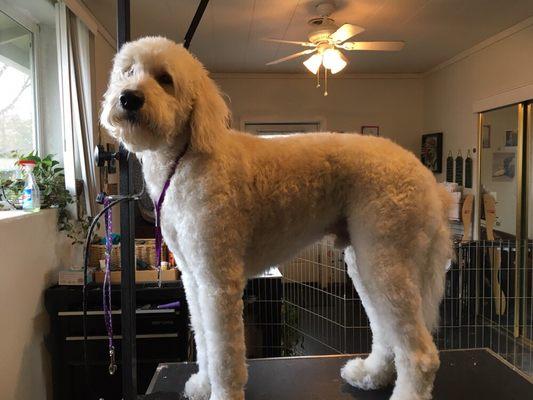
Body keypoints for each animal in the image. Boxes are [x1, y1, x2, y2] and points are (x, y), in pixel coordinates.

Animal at [102, 36, 450, 398]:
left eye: (165, 79)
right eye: (128, 72)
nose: (129, 98)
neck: (185, 159)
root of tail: (427, 178)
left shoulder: (218, 280)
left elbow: (223, 353)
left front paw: (222, 392)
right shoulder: (193, 278)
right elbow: (204, 341)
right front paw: (202, 384)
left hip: (386, 259)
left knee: (420, 352)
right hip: (366, 262)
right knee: (384, 330)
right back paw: (372, 373)